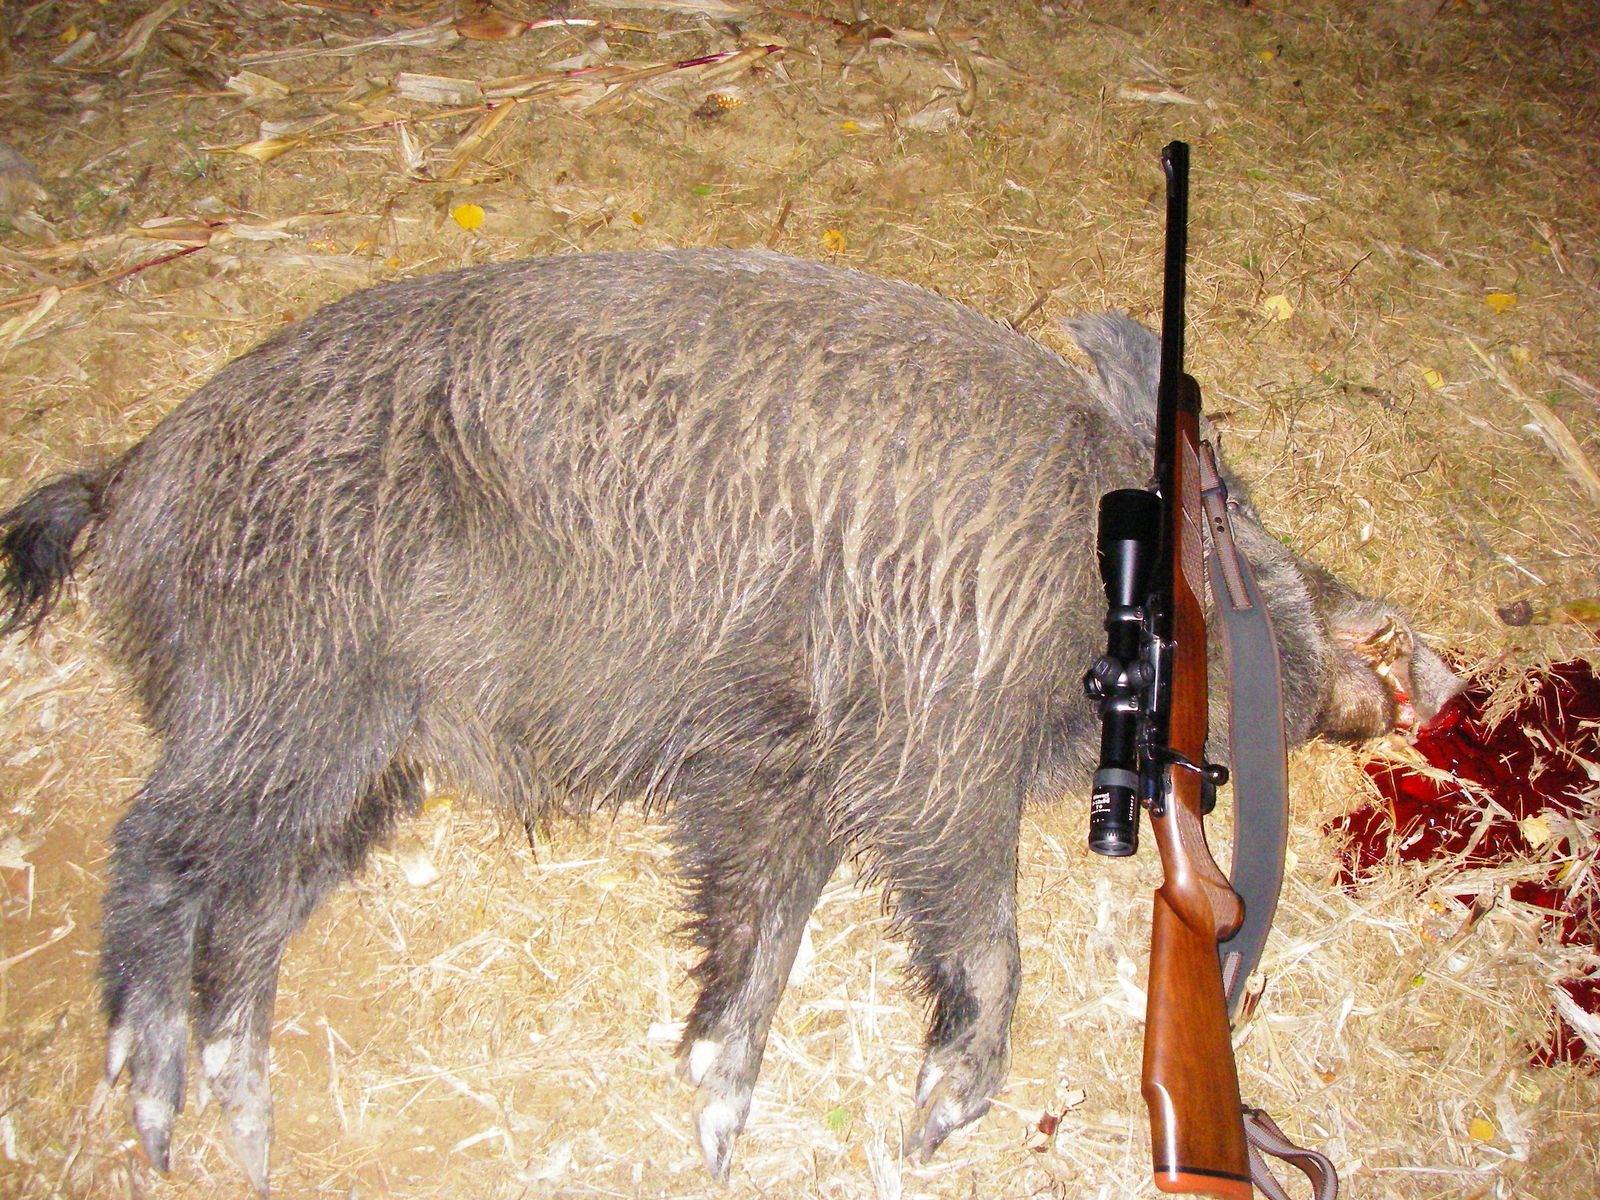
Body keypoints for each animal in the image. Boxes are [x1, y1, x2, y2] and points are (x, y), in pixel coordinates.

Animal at [0, 248, 1459, 1191]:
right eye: (1242, 511)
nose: (1433, 668)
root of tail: (138, 469)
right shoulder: (930, 742)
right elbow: (983, 939)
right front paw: (923, 1135)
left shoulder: (776, 771)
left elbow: (762, 932)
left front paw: (714, 1132)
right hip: (285, 692)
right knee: (155, 853)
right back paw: (156, 1124)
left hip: (365, 769)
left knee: (245, 921)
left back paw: (245, 1145)